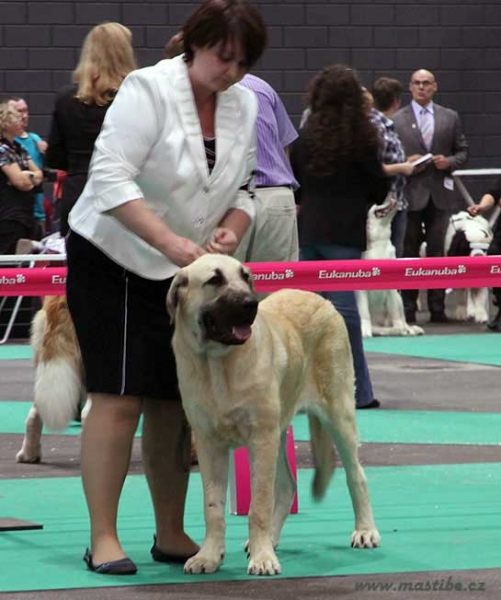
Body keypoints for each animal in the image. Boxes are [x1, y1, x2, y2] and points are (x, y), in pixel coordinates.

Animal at [167, 253, 378, 576]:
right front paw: (209, 556)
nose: (250, 304)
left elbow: (259, 505)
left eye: (246, 277)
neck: (217, 364)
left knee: (357, 475)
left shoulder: (260, 437)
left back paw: (365, 530)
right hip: (279, 433)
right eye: (215, 280)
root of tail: (322, 301)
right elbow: (212, 507)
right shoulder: (209, 443)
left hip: (337, 415)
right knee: (287, 486)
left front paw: (262, 558)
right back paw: (269, 540)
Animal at [358, 198, 424, 336]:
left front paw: (401, 329)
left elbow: (395, 312)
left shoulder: (392, 292)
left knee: (401, 317)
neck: (379, 242)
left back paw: (408, 329)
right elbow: (364, 312)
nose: (393, 198)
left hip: (399, 299)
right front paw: (365, 331)